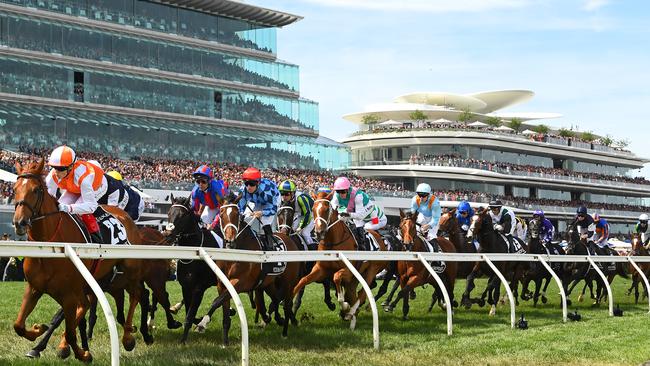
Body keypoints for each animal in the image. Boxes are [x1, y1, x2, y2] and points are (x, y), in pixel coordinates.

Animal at [12, 159, 147, 360]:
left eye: (35, 190)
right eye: (14, 189)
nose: (19, 222)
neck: (51, 246)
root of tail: (126, 217)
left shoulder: (69, 294)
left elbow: (68, 326)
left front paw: (78, 352)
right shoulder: (35, 288)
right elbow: (19, 325)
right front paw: (38, 333)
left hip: (129, 270)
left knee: (136, 294)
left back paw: (128, 338)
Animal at [195, 194, 302, 340]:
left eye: (236, 214)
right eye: (221, 214)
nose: (230, 241)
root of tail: (288, 237)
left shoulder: (241, 283)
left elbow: (217, 301)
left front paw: (202, 323)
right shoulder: (222, 284)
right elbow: (222, 307)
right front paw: (224, 340)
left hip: (288, 282)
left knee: (286, 304)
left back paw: (284, 332)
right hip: (269, 283)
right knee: (275, 299)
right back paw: (273, 319)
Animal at [292, 192, 388, 324]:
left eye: (326, 209)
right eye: (313, 209)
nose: (318, 232)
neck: (333, 243)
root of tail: (380, 238)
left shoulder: (348, 271)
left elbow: (337, 278)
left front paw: (345, 306)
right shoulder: (321, 269)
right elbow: (302, 280)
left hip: (371, 271)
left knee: (362, 292)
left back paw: (351, 311)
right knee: (353, 292)